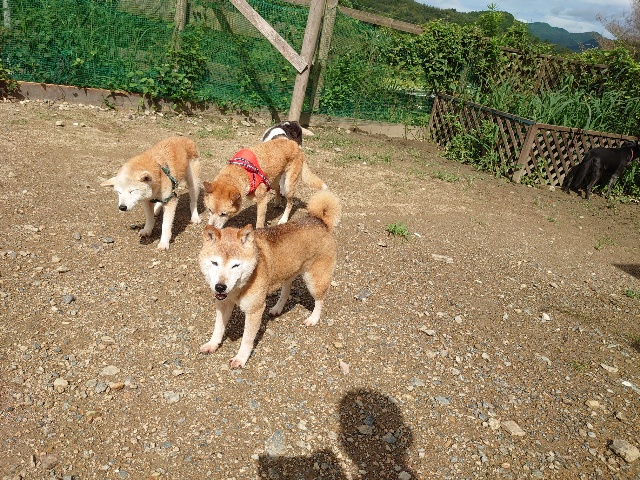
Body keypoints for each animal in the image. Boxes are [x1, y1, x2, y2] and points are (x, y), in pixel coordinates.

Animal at [198, 190, 341, 368]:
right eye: (214, 262)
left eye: (236, 265)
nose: (220, 287)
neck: (239, 287)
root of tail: (320, 221)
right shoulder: (223, 303)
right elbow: (218, 328)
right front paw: (212, 344)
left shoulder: (254, 310)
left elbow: (247, 339)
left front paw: (241, 357)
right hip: (288, 272)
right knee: (286, 292)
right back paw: (277, 308)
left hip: (314, 280)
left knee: (319, 300)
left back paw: (313, 319)